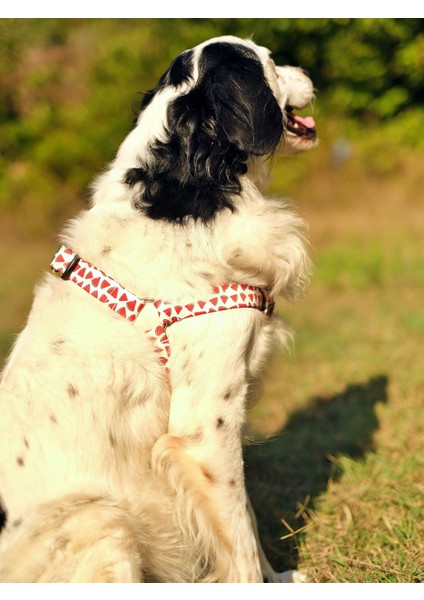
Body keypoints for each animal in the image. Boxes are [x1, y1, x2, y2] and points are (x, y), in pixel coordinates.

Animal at [0, 34, 316, 580]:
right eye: (272, 63)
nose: (309, 74)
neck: (191, 192)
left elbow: (248, 523)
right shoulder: (205, 425)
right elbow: (240, 533)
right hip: (104, 520)